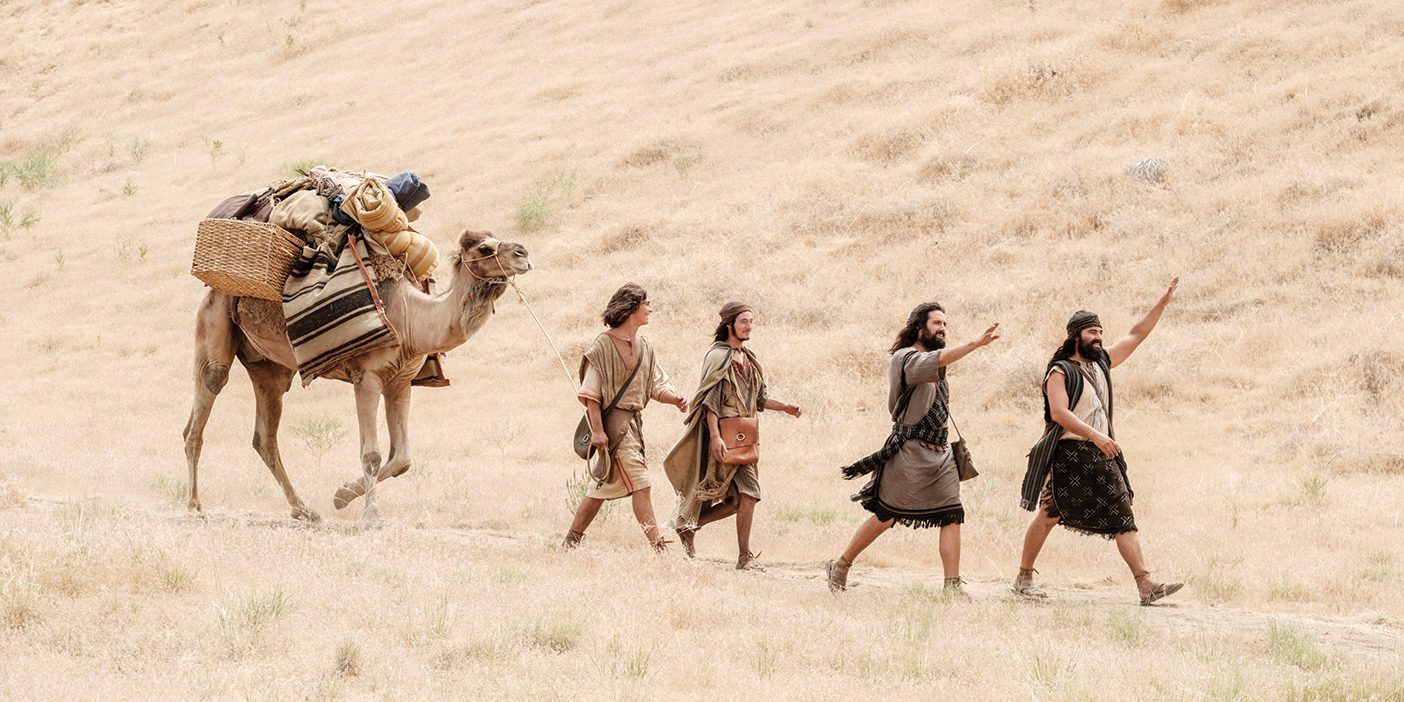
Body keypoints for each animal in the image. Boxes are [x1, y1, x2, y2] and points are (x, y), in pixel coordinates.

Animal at [182, 230, 530, 522]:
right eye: (484, 248)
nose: (523, 253)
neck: (411, 318)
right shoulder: (368, 377)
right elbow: (372, 453)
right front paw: (371, 515)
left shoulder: (401, 382)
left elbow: (402, 458)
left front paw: (341, 496)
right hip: (214, 320)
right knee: (204, 403)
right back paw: (194, 505)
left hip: (269, 368)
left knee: (264, 436)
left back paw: (303, 509)